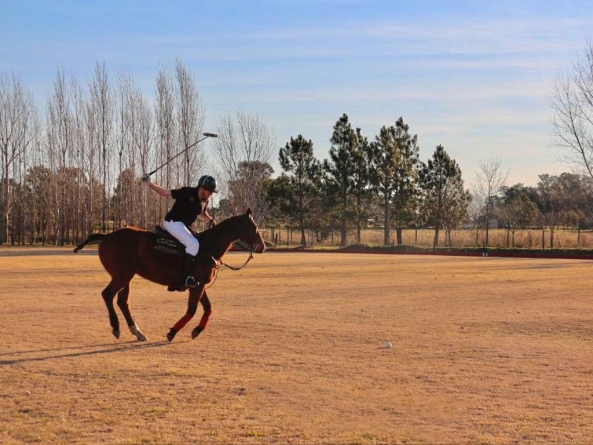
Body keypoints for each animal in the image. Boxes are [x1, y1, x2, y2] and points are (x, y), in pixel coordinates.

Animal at [73, 208, 264, 340]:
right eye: (252, 226)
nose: (262, 247)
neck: (210, 246)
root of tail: (106, 236)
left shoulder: (198, 284)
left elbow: (208, 308)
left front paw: (197, 330)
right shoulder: (197, 285)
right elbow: (192, 310)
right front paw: (172, 332)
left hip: (126, 276)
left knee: (122, 301)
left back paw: (137, 331)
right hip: (121, 275)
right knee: (107, 294)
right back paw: (116, 328)